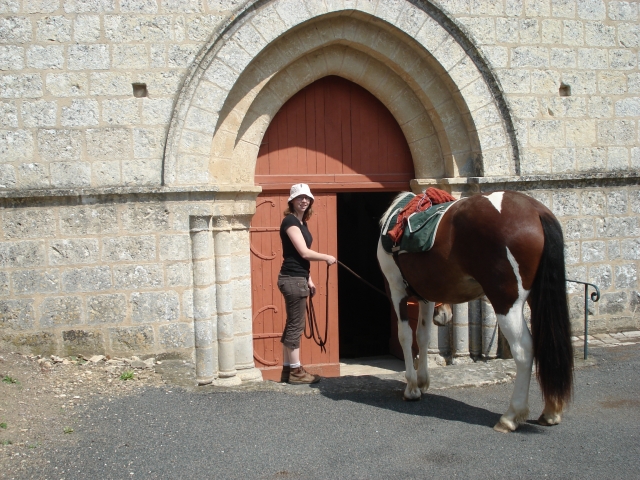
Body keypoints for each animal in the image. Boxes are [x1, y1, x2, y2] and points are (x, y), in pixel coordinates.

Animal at [377, 190, 573, 433]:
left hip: (506, 302)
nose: (445, 315)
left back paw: (511, 416)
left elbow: (405, 336)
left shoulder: (397, 291)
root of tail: (536, 211)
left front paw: (412, 388)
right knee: (550, 339)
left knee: (523, 350)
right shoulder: (426, 297)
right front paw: (422, 382)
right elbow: (422, 337)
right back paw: (551, 411)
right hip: (537, 297)